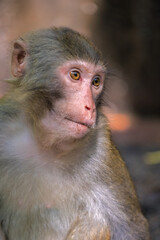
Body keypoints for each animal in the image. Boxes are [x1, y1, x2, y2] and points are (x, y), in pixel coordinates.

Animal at [0, 28, 149, 240]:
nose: (89, 107)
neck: (46, 144)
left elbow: (130, 228)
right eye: (75, 75)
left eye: (96, 81)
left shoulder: (102, 147)